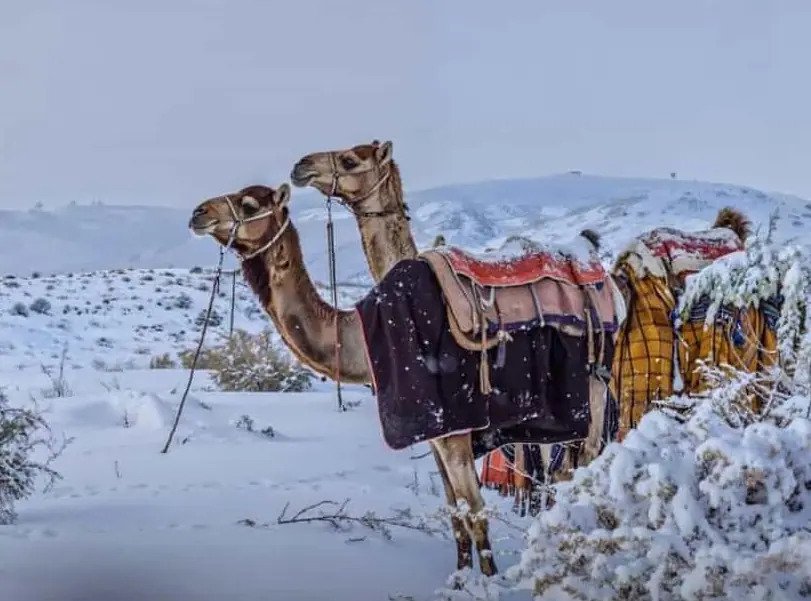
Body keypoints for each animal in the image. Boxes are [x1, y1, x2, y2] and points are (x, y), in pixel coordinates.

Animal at [190, 184, 502, 576]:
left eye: (248, 204)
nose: (198, 213)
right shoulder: (436, 430)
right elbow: (455, 513)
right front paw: (459, 580)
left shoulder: (456, 428)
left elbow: (476, 514)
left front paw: (490, 583)